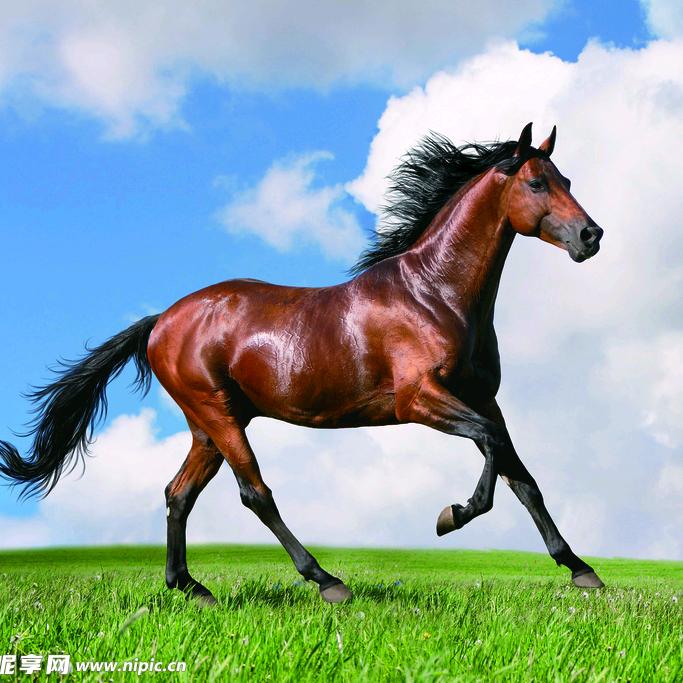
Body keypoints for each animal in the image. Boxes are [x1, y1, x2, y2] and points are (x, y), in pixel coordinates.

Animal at [0, 123, 605, 604]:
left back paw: (191, 588)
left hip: (210, 426)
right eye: (537, 183)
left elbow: (521, 475)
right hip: (218, 416)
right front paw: (450, 516)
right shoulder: (420, 400)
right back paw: (326, 580)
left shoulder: (484, 398)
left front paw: (580, 570)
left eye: (568, 181)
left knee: (178, 494)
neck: (435, 293)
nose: (591, 235)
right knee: (254, 493)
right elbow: (490, 448)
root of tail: (161, 321)